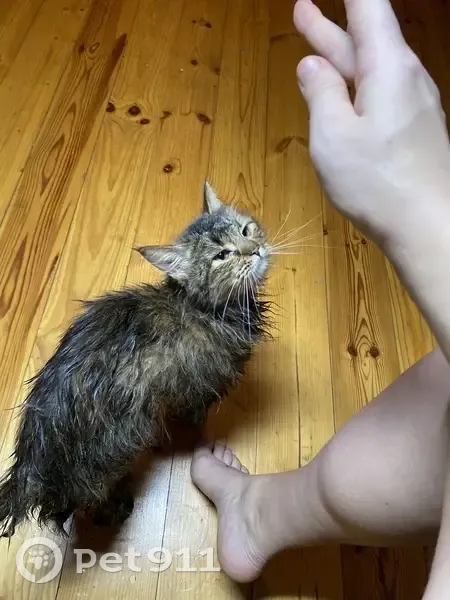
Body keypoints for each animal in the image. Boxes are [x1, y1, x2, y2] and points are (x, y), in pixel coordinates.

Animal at [0, 182, 271, 537]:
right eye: (221, 255)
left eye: (245, 229)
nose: (255, 250)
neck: (204, 306)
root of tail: (29, 464)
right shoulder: (198, 385)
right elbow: (195, 412)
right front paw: (199, 433)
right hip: (119, 445)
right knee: (92, 501)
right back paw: (117, 508)